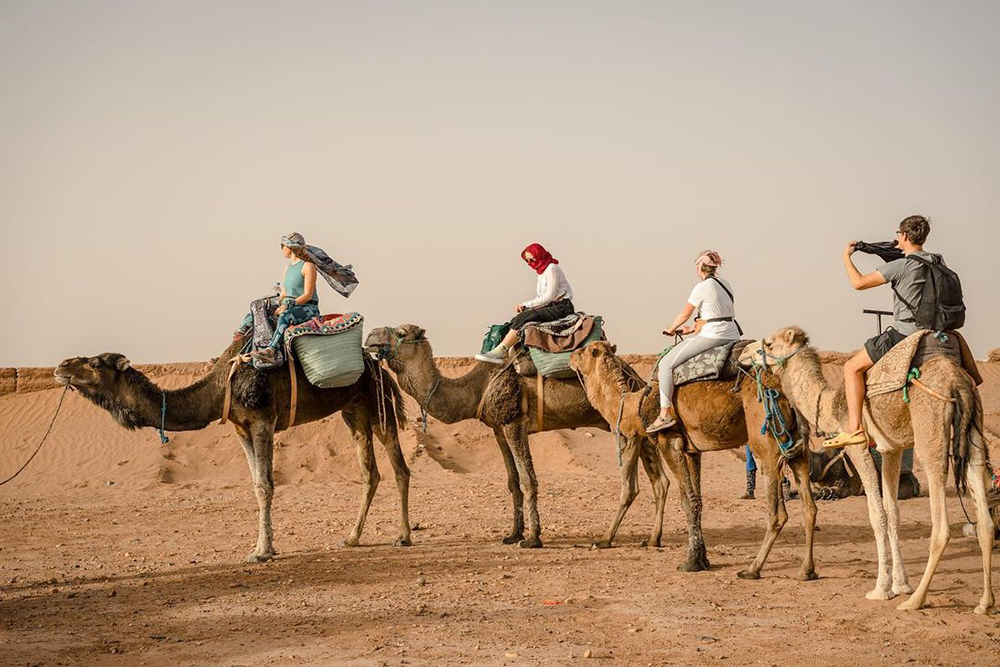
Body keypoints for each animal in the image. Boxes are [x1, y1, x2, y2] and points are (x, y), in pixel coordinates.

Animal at [53, 334, 414, 564]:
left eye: (96, 363)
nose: (61, 366)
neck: (218, 389)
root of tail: (377, 364)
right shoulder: (241, 428)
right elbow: (255, 484)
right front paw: (265, 547)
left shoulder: (262, 420)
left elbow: (266, 485)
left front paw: (261, 551)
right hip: (352, 410)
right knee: (370, 472)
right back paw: (351, 537)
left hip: (376, 402)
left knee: (399, 467)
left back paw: (403, 536)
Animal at [364, 324, 668, 548]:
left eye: (401, 332)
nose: (370, 336)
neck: (478, 387)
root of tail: (636, 376)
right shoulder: (498, 428)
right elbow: (512, 481)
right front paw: (513, 534)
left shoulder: (514, 423)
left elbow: (528, 478)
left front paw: (533, 538)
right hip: (640, 429)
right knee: (658, 481)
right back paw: (653, 538)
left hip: (621, 425)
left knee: (634, 483)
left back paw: (609, 539)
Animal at [568, 340, 816, 580]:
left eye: (583, 350)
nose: (570, 357)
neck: (631, 405)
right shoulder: (692, 450)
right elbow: (697, 501)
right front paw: (701, 560)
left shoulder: (668, 441)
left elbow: (684, 501)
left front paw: (690, 562)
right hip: (796, 447)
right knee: (809, 507)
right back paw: (807, 571)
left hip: (766, 440)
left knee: (778, 513)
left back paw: (752, 570)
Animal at [744, 326, 992, 612]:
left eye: (770, 344)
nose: (744, 352)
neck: (828, 404)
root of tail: (956, 379)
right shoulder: (891, 449)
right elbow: (893, 513)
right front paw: (900, 584)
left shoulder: (858, 447)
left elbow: (877, 514)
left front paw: (881, 589)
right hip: (973, 426)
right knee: (984, 518)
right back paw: (985, 603)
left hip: (930, 428)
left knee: (941, 524)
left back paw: (916, 601)